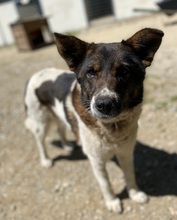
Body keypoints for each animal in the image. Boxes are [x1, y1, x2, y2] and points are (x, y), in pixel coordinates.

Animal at [24, 28, 164, 212]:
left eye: (124, 71)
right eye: (90, 72)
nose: (104, 104)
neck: (112, 128)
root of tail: (35, 75)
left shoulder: (126, 152)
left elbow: (130, 175)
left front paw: (135, 194)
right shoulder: (96, 160)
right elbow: (106, 184)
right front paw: (112, 201)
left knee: (60, 128)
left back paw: (67, 146)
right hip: (41, 122)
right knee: (40, 141)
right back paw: (46, 160)